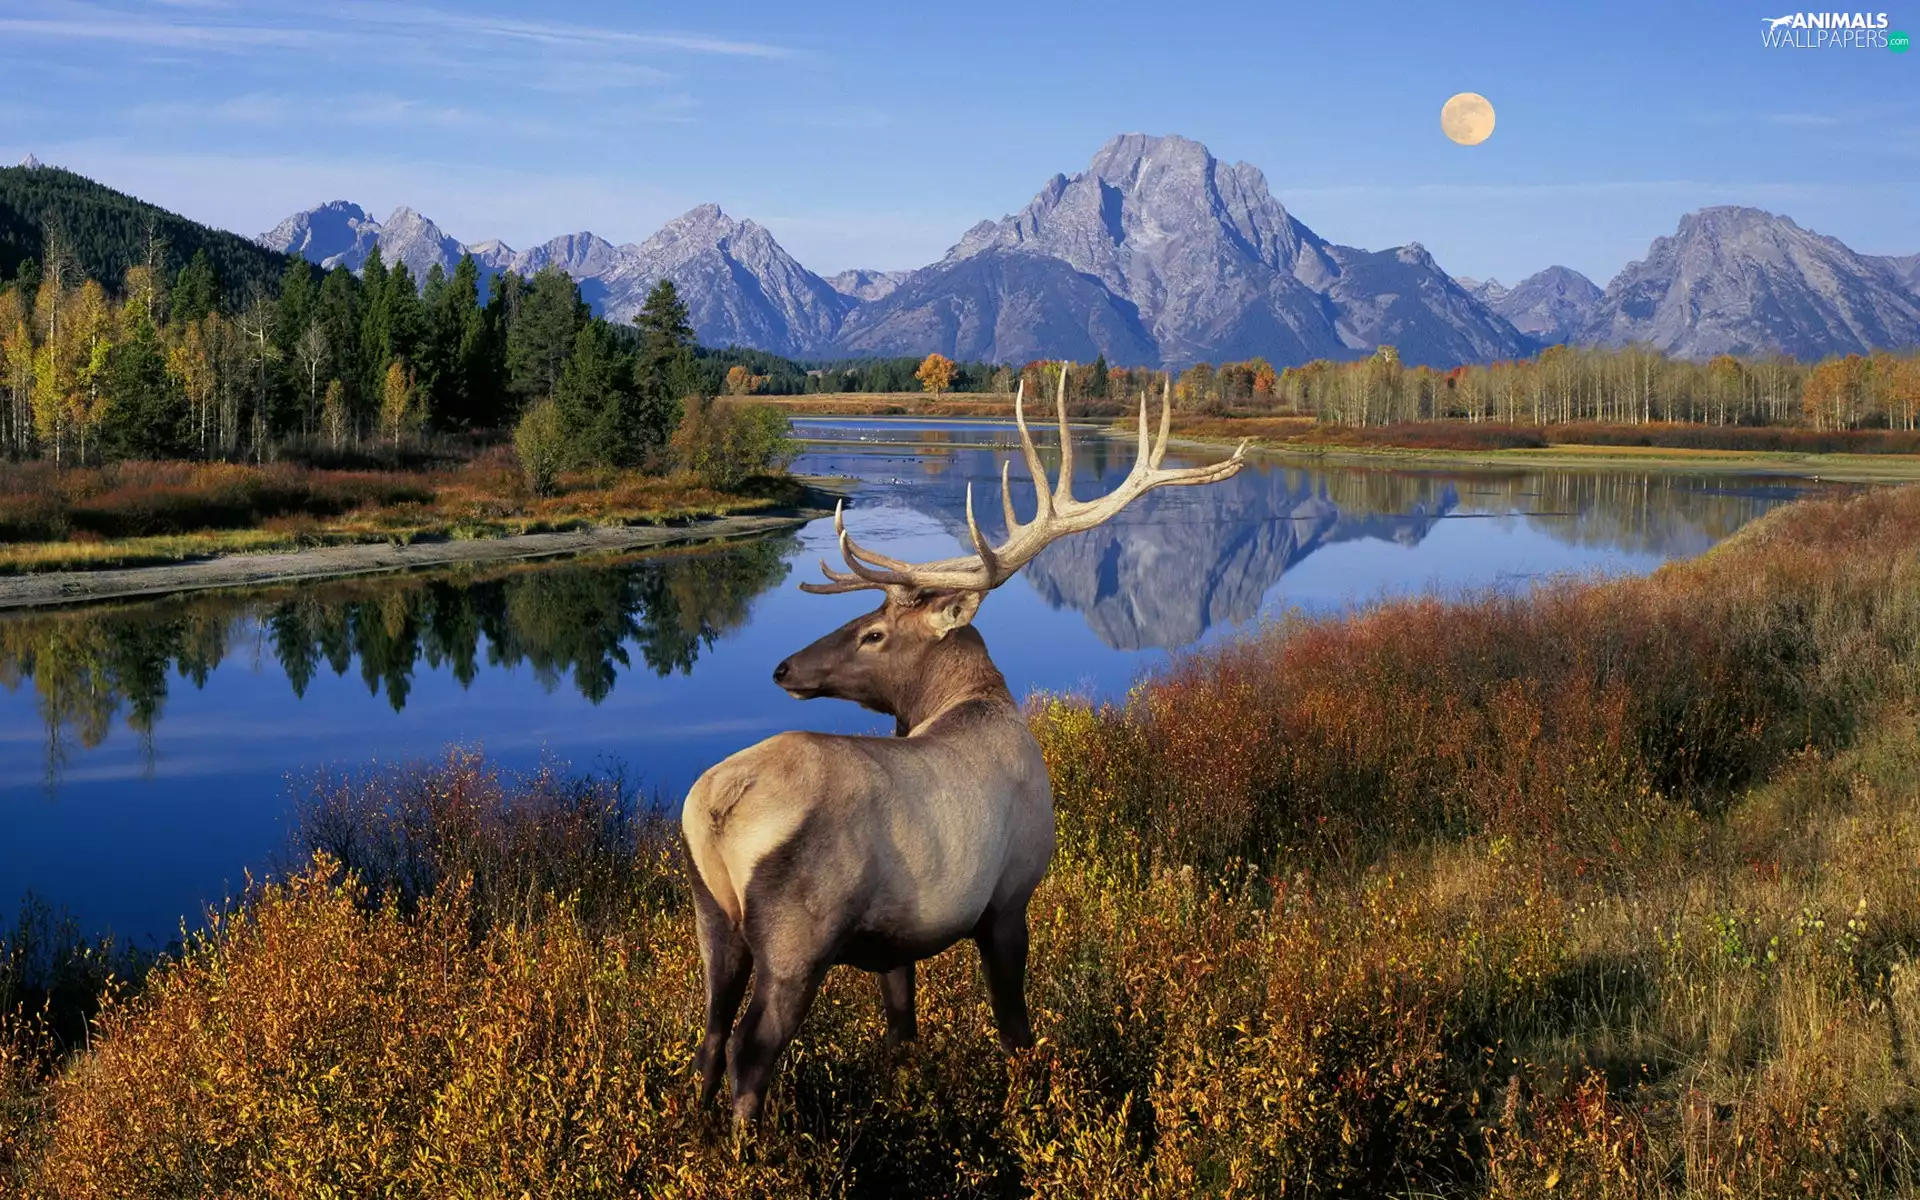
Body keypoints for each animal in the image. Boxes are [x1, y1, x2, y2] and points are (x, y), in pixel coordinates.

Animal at [680, 369, 1247, 1128]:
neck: (975, 701)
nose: (784, 668)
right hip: (799, 936)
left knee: (710, 1039)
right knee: (750, 1051)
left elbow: (903, 1032)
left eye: (873, 633)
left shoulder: (895, 940)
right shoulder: (1009, 898)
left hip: (714, 918)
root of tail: (717, 807)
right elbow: (1015, 1030)